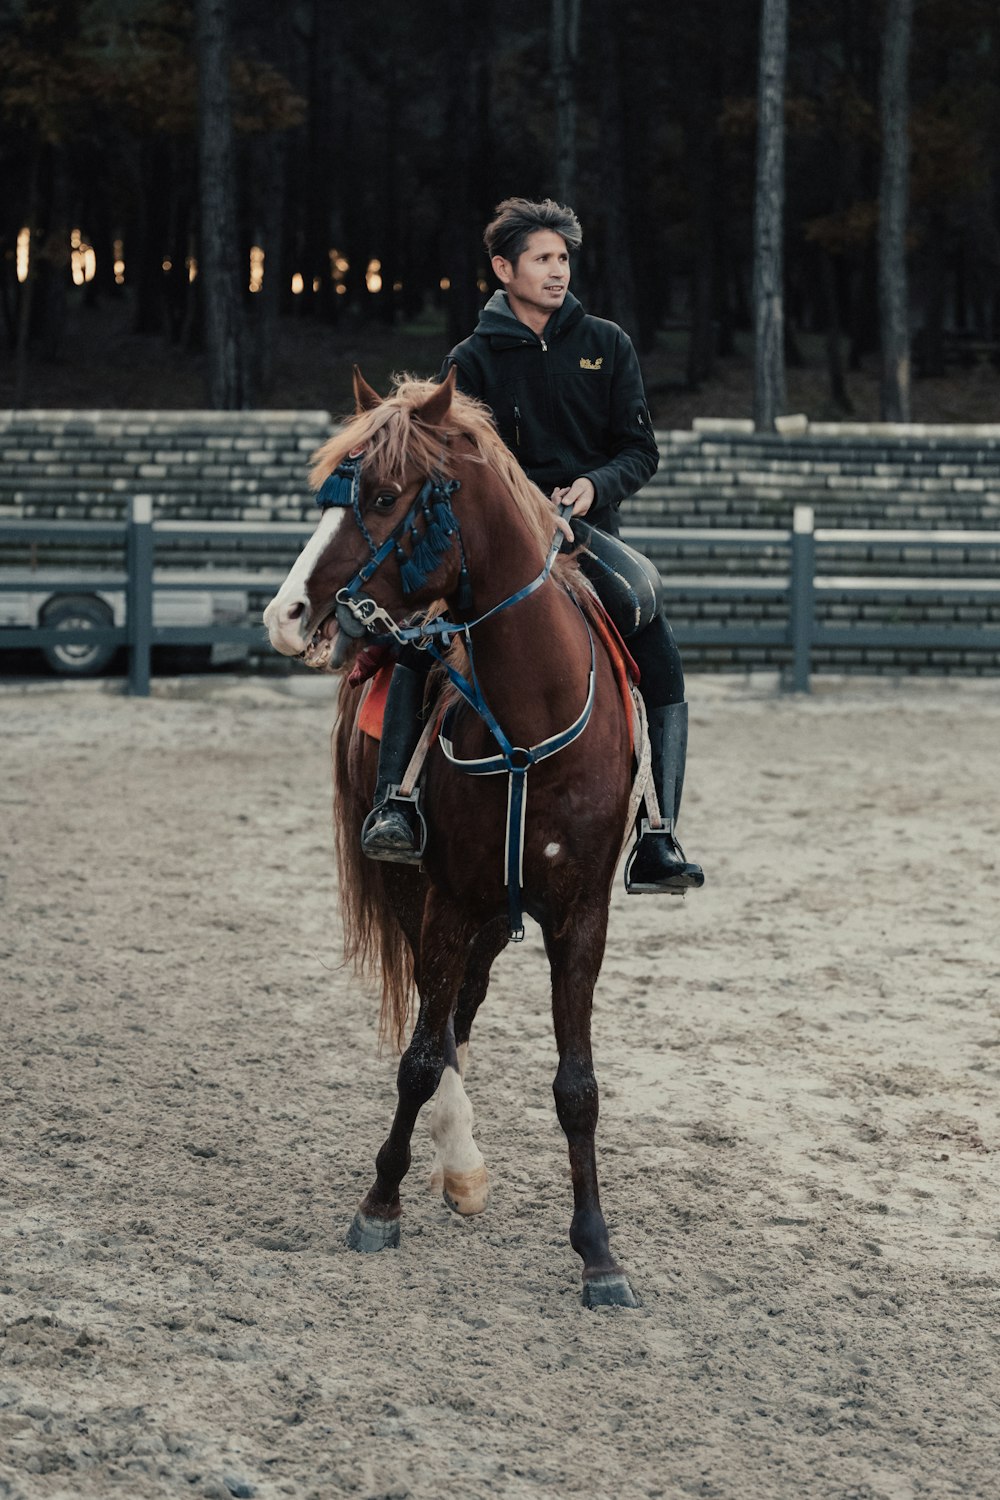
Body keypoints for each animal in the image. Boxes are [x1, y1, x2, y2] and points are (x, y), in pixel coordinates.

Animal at [263, 369, 641, 1308]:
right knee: (439, 1028)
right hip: (427, 899)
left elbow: (577, 1086)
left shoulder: (578, 916)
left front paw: (598, 1254)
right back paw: (456, 1161)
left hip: (496, 919)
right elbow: (418, 1060)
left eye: (382, 496)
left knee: (461, 1010)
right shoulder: (448, 899)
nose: (287, 614)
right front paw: (380, 1205)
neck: (530, 718)